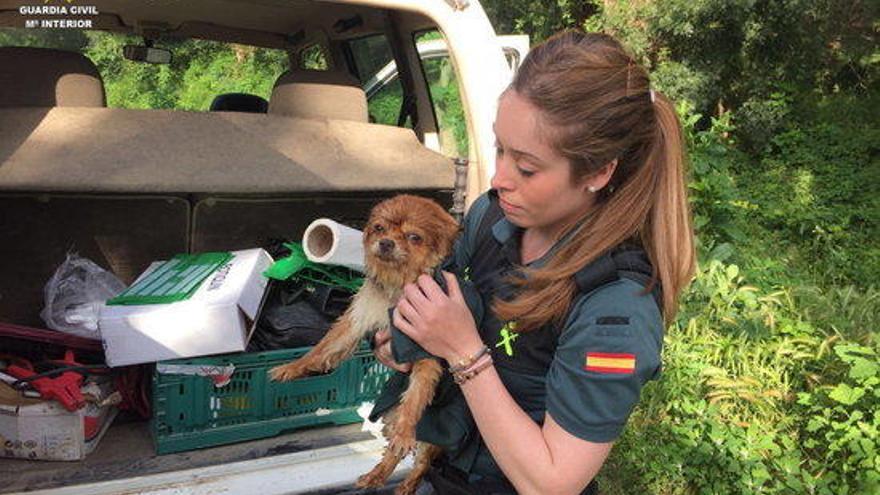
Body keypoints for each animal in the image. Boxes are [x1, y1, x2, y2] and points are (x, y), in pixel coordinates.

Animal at [270, 196, 460, 494]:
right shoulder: (355, 322)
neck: (397, 286)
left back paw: (403, 483)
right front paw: (292, 367)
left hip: (427, 434)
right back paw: (375, 476)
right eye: (380, 228)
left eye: (414, 237)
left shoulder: (425, 355)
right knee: (395, 452)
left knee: (420, 462)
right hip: (390, 418)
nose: (386, 243)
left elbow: (414, 401)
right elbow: (322, 348)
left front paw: (405, 432)